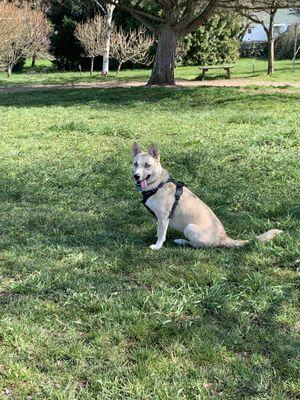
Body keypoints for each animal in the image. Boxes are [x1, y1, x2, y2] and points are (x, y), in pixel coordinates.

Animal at [132, 143, 282, 250]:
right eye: (135, 164)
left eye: (147, 165)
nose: (136, 176)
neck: (158, 184)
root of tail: (224, 237)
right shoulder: (160, 218)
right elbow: (159, 231)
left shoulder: (164, 217)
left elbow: (162, 234)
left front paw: (157, 246)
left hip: (190, 228)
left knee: (197, 245)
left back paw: (181, 241)